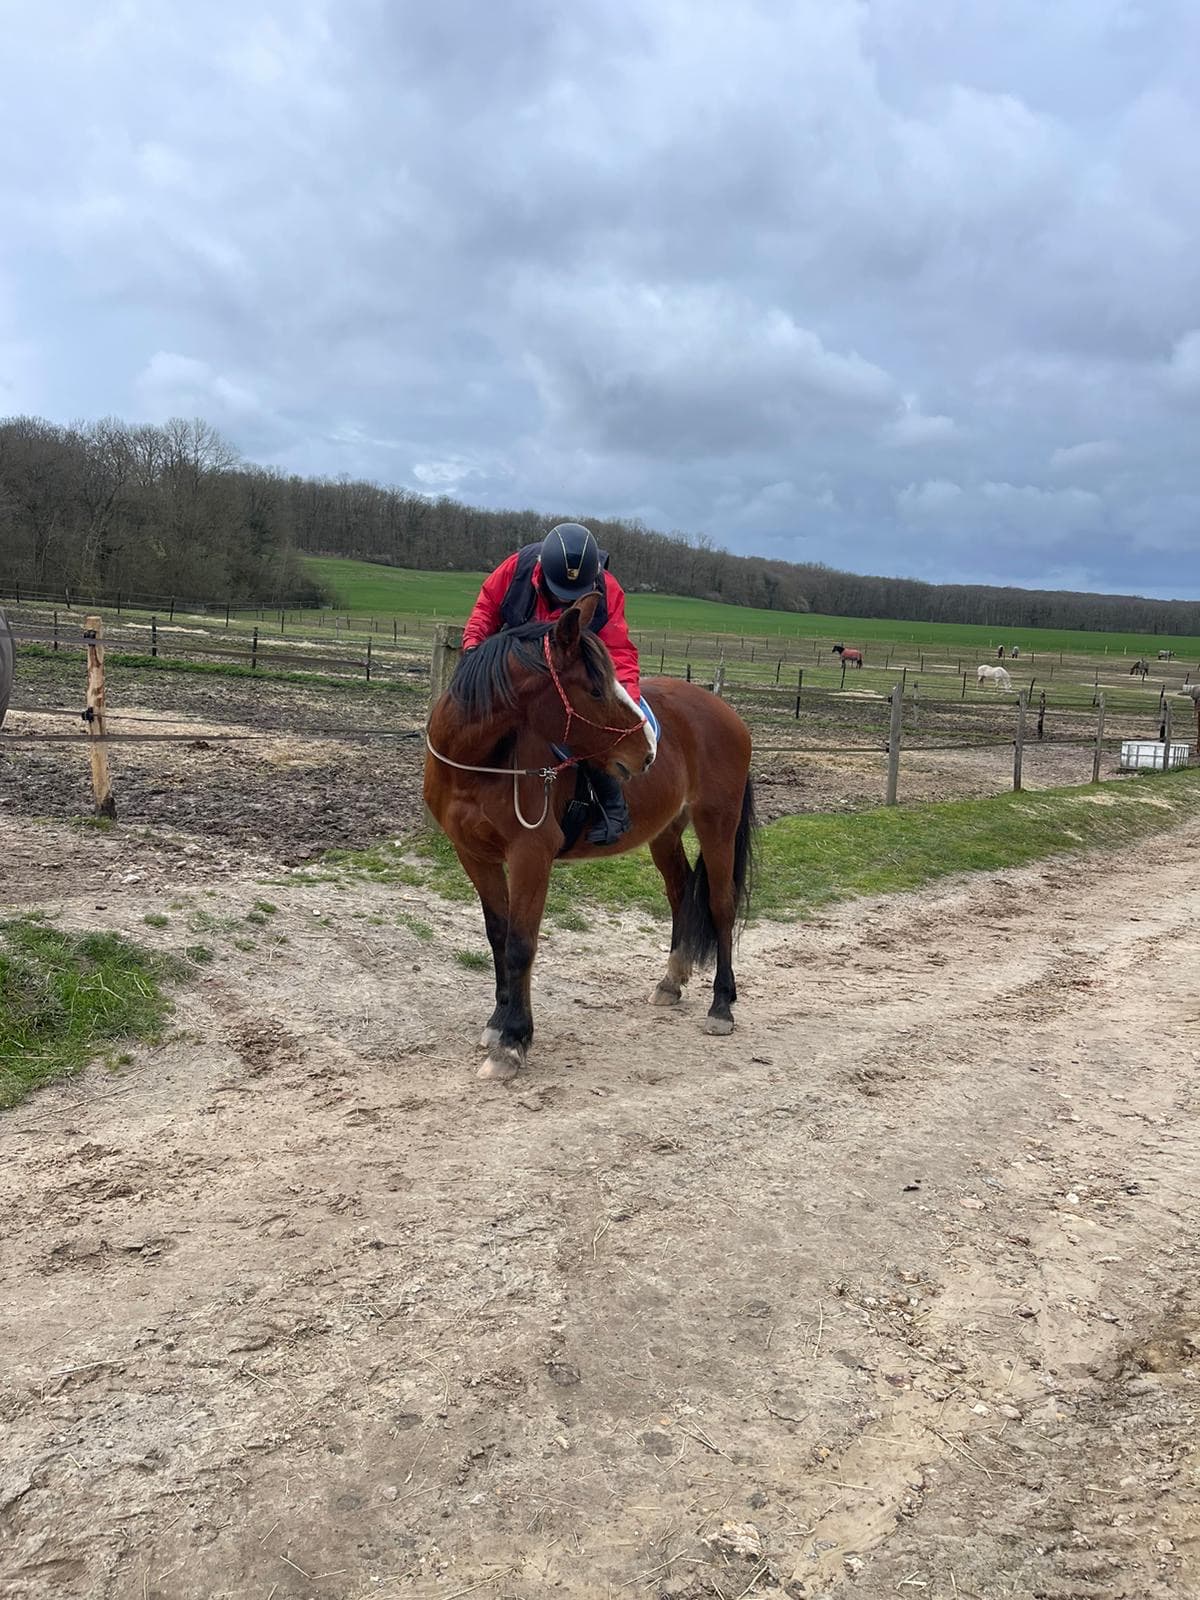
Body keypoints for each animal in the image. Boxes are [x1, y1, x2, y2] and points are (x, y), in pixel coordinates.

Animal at [424, 598, 756, 1082]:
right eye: (595, 691)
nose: (646, 752)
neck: (480, 765)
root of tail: (725, 711)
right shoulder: (474, 855)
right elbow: (499, 936)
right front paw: (498, 1022)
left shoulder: (530, 856)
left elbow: (521, 945)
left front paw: (513, 1041)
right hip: (665, 833)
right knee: (679, 895)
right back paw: (670, 981)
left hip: (717, 824)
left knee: (721, 906)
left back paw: (721, 1006)